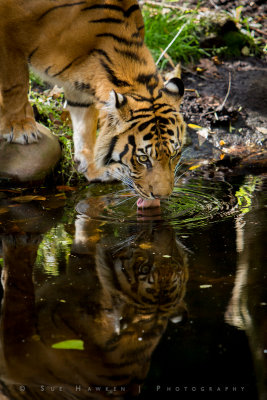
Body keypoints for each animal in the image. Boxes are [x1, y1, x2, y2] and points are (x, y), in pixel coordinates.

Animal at [0, 0, 186, 206]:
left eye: (174, 154)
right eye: (143, 158)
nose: (162, 197)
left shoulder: (78, 85)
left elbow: (84, 125)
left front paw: (91, 167)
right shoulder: (8, 36)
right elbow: (15, 84)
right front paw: (20, 128)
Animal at [0, 198, 188, 398]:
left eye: (176, 266)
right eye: (145, 268)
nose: (163, 228)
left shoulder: (19, 356)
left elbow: (17, 286)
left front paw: (20, 243)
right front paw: (94, 203)